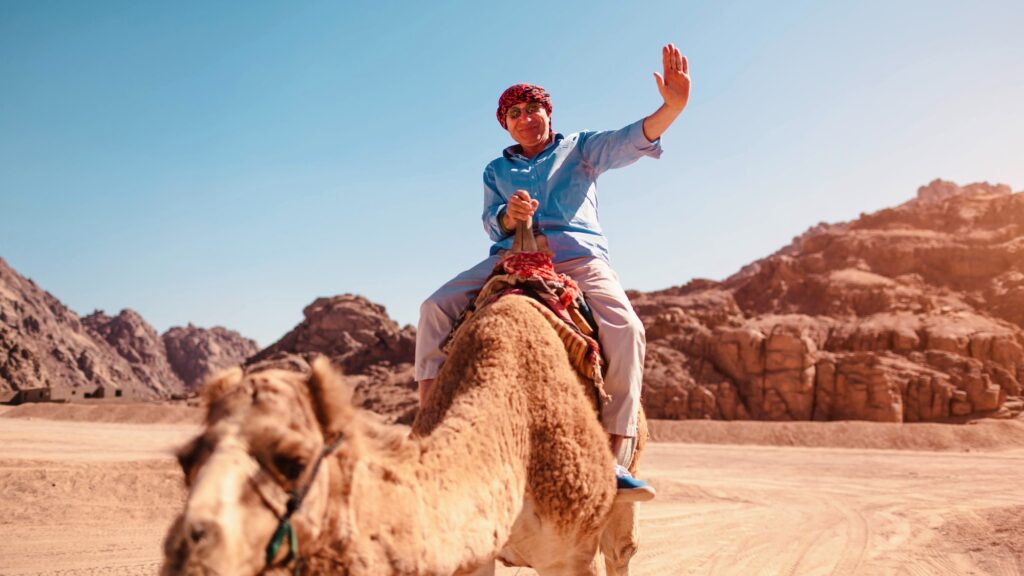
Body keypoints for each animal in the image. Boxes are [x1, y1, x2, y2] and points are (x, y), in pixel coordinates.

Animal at [162, 295, 646, 575]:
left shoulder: (572, 553)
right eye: (185, 461)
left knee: (622, 550)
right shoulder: (472, 552)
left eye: (295, 462)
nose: (187, 555)